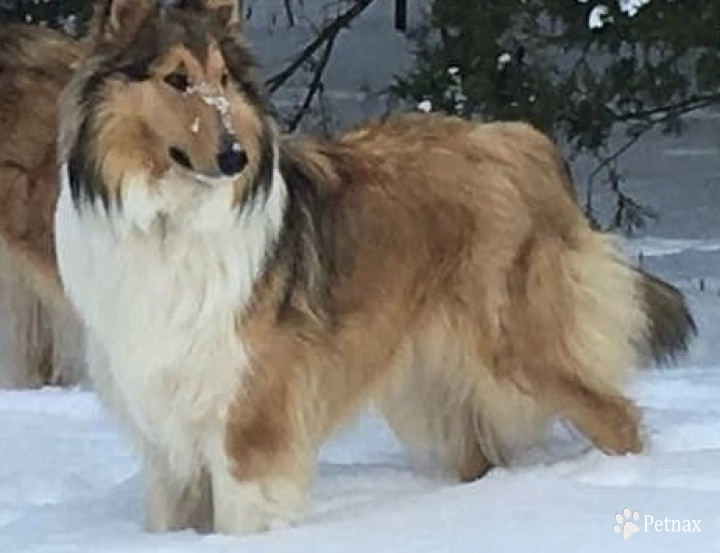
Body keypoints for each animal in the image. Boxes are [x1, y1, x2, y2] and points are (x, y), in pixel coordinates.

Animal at [53, 0, 696, 536]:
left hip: (521, 346)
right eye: (176, 79)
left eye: (226, 80)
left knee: (619, 419)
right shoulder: (164, 432)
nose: (235, 157)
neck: (171, 219)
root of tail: (519, 140)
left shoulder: (249, 421)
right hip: (433, 381)